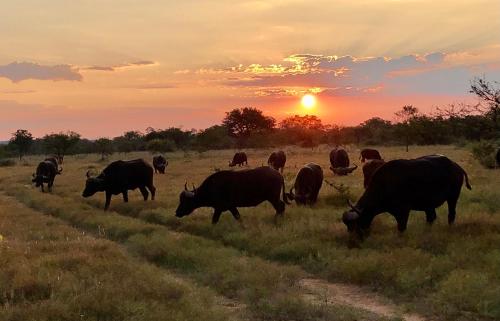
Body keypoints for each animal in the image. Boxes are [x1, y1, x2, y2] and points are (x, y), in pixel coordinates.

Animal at [342, 155, 470, 238]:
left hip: (453, 197)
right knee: (431, 217)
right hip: (428, 205)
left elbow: (401, 227)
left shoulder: (403, 210)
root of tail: (456, 167)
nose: (353, 239)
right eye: (347, 225)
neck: (385, 184)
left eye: (356, 223)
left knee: (451, 214)